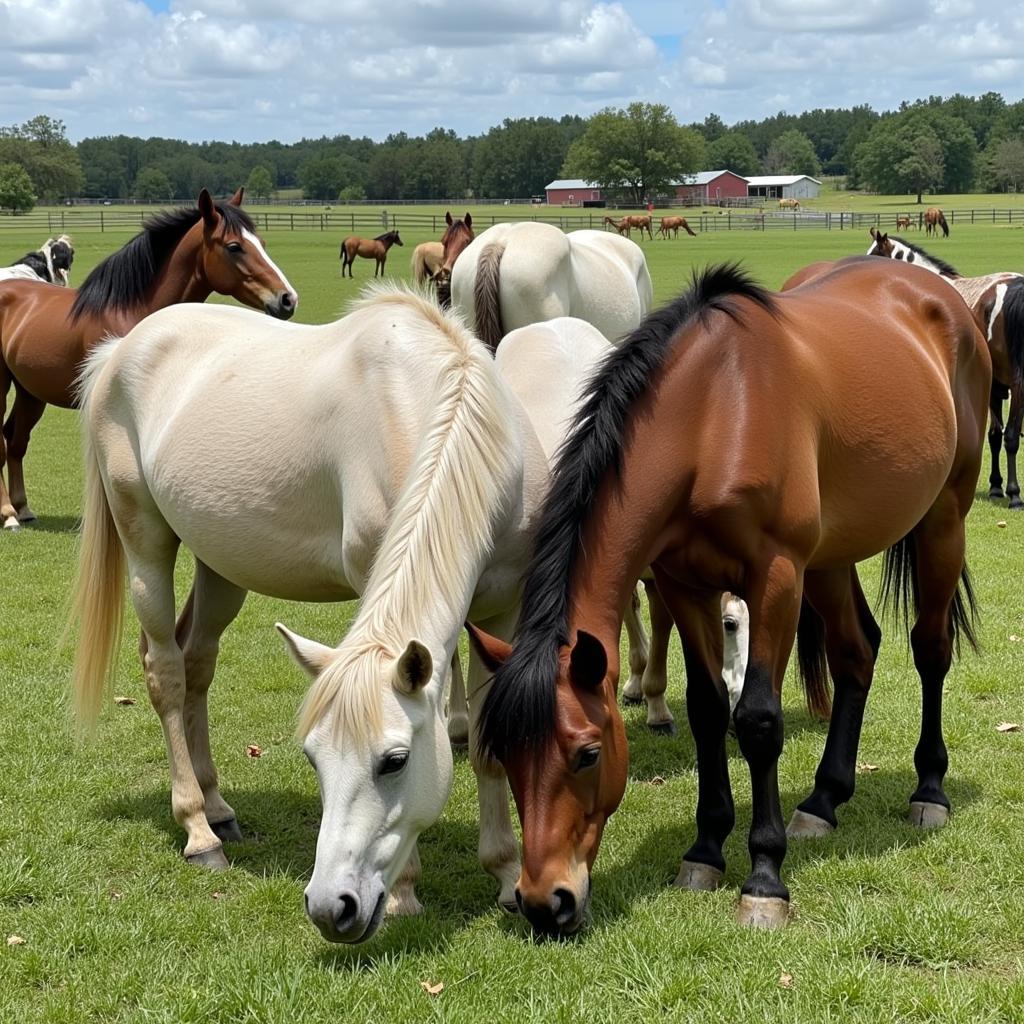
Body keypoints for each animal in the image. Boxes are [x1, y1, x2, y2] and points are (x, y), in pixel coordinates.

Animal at [0, 187, 296, 532]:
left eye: (261, 242)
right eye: (234, 246)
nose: (288, 299)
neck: (133, 312)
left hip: (31, 393)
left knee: (15, 441)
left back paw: (23, 509)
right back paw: (8, 515)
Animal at [69, 286, 552, 942]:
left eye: (394, 761)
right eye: (312, 758)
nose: (331, 907)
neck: (440, 407)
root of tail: (121, 348)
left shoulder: (500, 610)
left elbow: (483, 745)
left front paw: (505, 874)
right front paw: (406, 892)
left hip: (222, 566)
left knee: (196, 665)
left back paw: (219, 809)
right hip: (145, 544)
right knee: (164, 673)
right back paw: (198, 831)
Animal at [468, 260, 987, 937]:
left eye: (587, 754)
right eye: (504, 755)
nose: (543, 902)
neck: (713, 414)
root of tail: (939, 293)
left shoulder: (776, 578)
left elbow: (759, 720)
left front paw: (764, 877)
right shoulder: (686, 585)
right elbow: (709, 708)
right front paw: (705, 850)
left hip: (943, 519)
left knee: (930, 649)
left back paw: (929, 790)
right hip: (831, 556)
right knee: (857, 652)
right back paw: (823, 800)